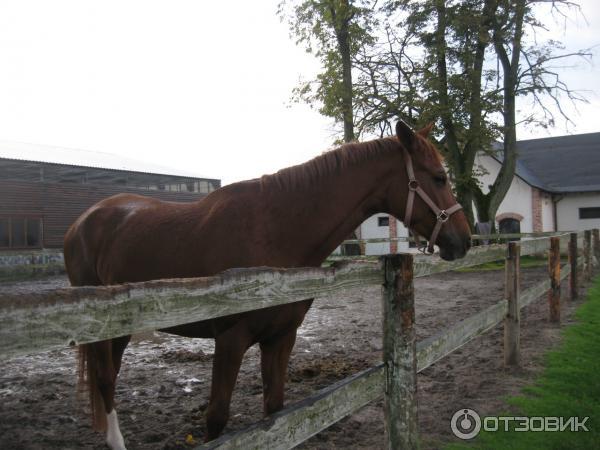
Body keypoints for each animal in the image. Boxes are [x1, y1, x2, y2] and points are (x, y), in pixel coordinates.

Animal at [63, 121, 472, 448]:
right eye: (439, 177)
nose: (463, 240)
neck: (274, 232)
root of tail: (82, 221)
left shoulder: (281, 338)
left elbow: (275, 411)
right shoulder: (230, 341)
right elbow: (217, 418)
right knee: (105, 380)